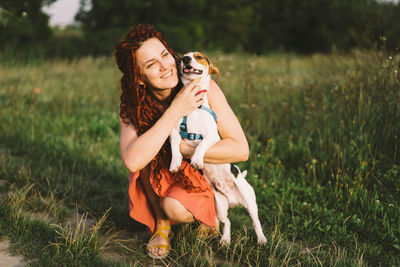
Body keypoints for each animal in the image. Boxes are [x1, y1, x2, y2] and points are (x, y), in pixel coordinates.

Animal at [168, 51, 266, 246]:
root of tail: (233, 200)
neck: (194, 106)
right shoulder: (174, 132)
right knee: (227, 222)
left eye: (198, 56)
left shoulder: (212, 136)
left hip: (250, 201)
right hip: (219, 205)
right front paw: (175, 162)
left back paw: (261, 239)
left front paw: (197, 159)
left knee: (256, 221)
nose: (186, 59)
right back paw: (225, 240)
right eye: (183, 57)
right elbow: (175, 146)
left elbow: (202, 145)